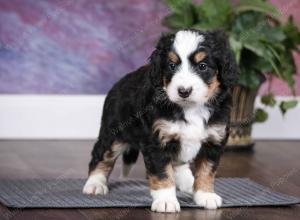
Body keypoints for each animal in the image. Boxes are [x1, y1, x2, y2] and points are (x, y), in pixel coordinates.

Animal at [82, 29, 239, 213]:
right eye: (172, 66)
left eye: (202, 66)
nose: (184, 91)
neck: (190, 108)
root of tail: (120, 82)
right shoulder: (157, 140)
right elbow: (162, 172)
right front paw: (166, 200)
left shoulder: (214, 139)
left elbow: (207, 170)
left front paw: (205, 195)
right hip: (113, 132)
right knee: (101, 156)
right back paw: (95, 183)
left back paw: (187, 181)